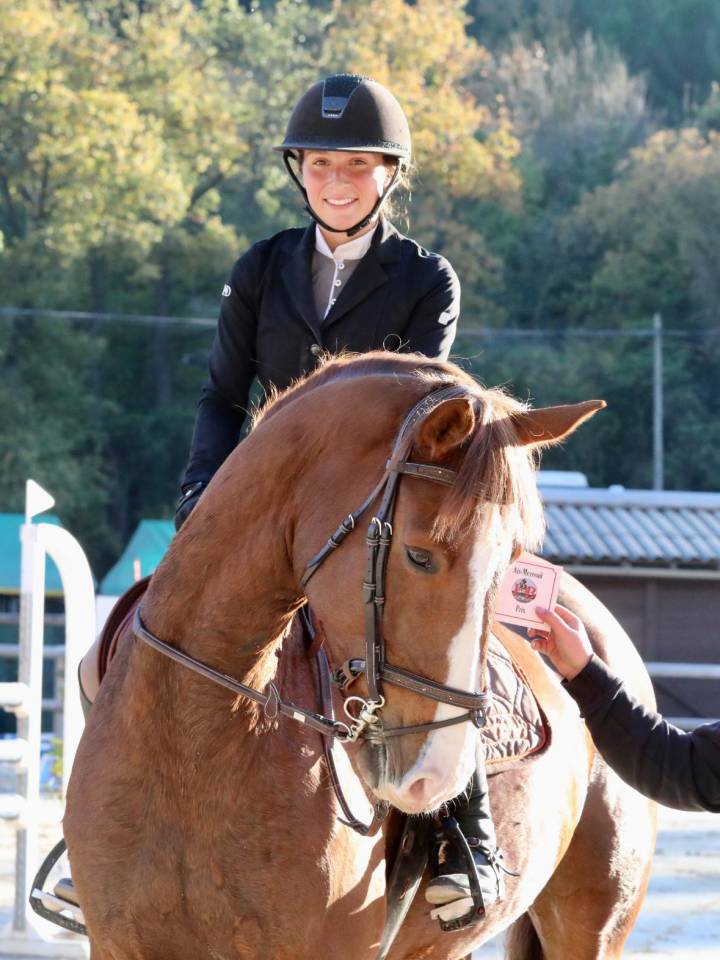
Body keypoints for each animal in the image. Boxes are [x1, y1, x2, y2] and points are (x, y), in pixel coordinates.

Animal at [64, 352, 657, 960]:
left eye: (509, 561)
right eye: (419, 556)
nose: (437, 778)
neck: (194, 740)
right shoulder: (117, 943)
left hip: (592, 925)